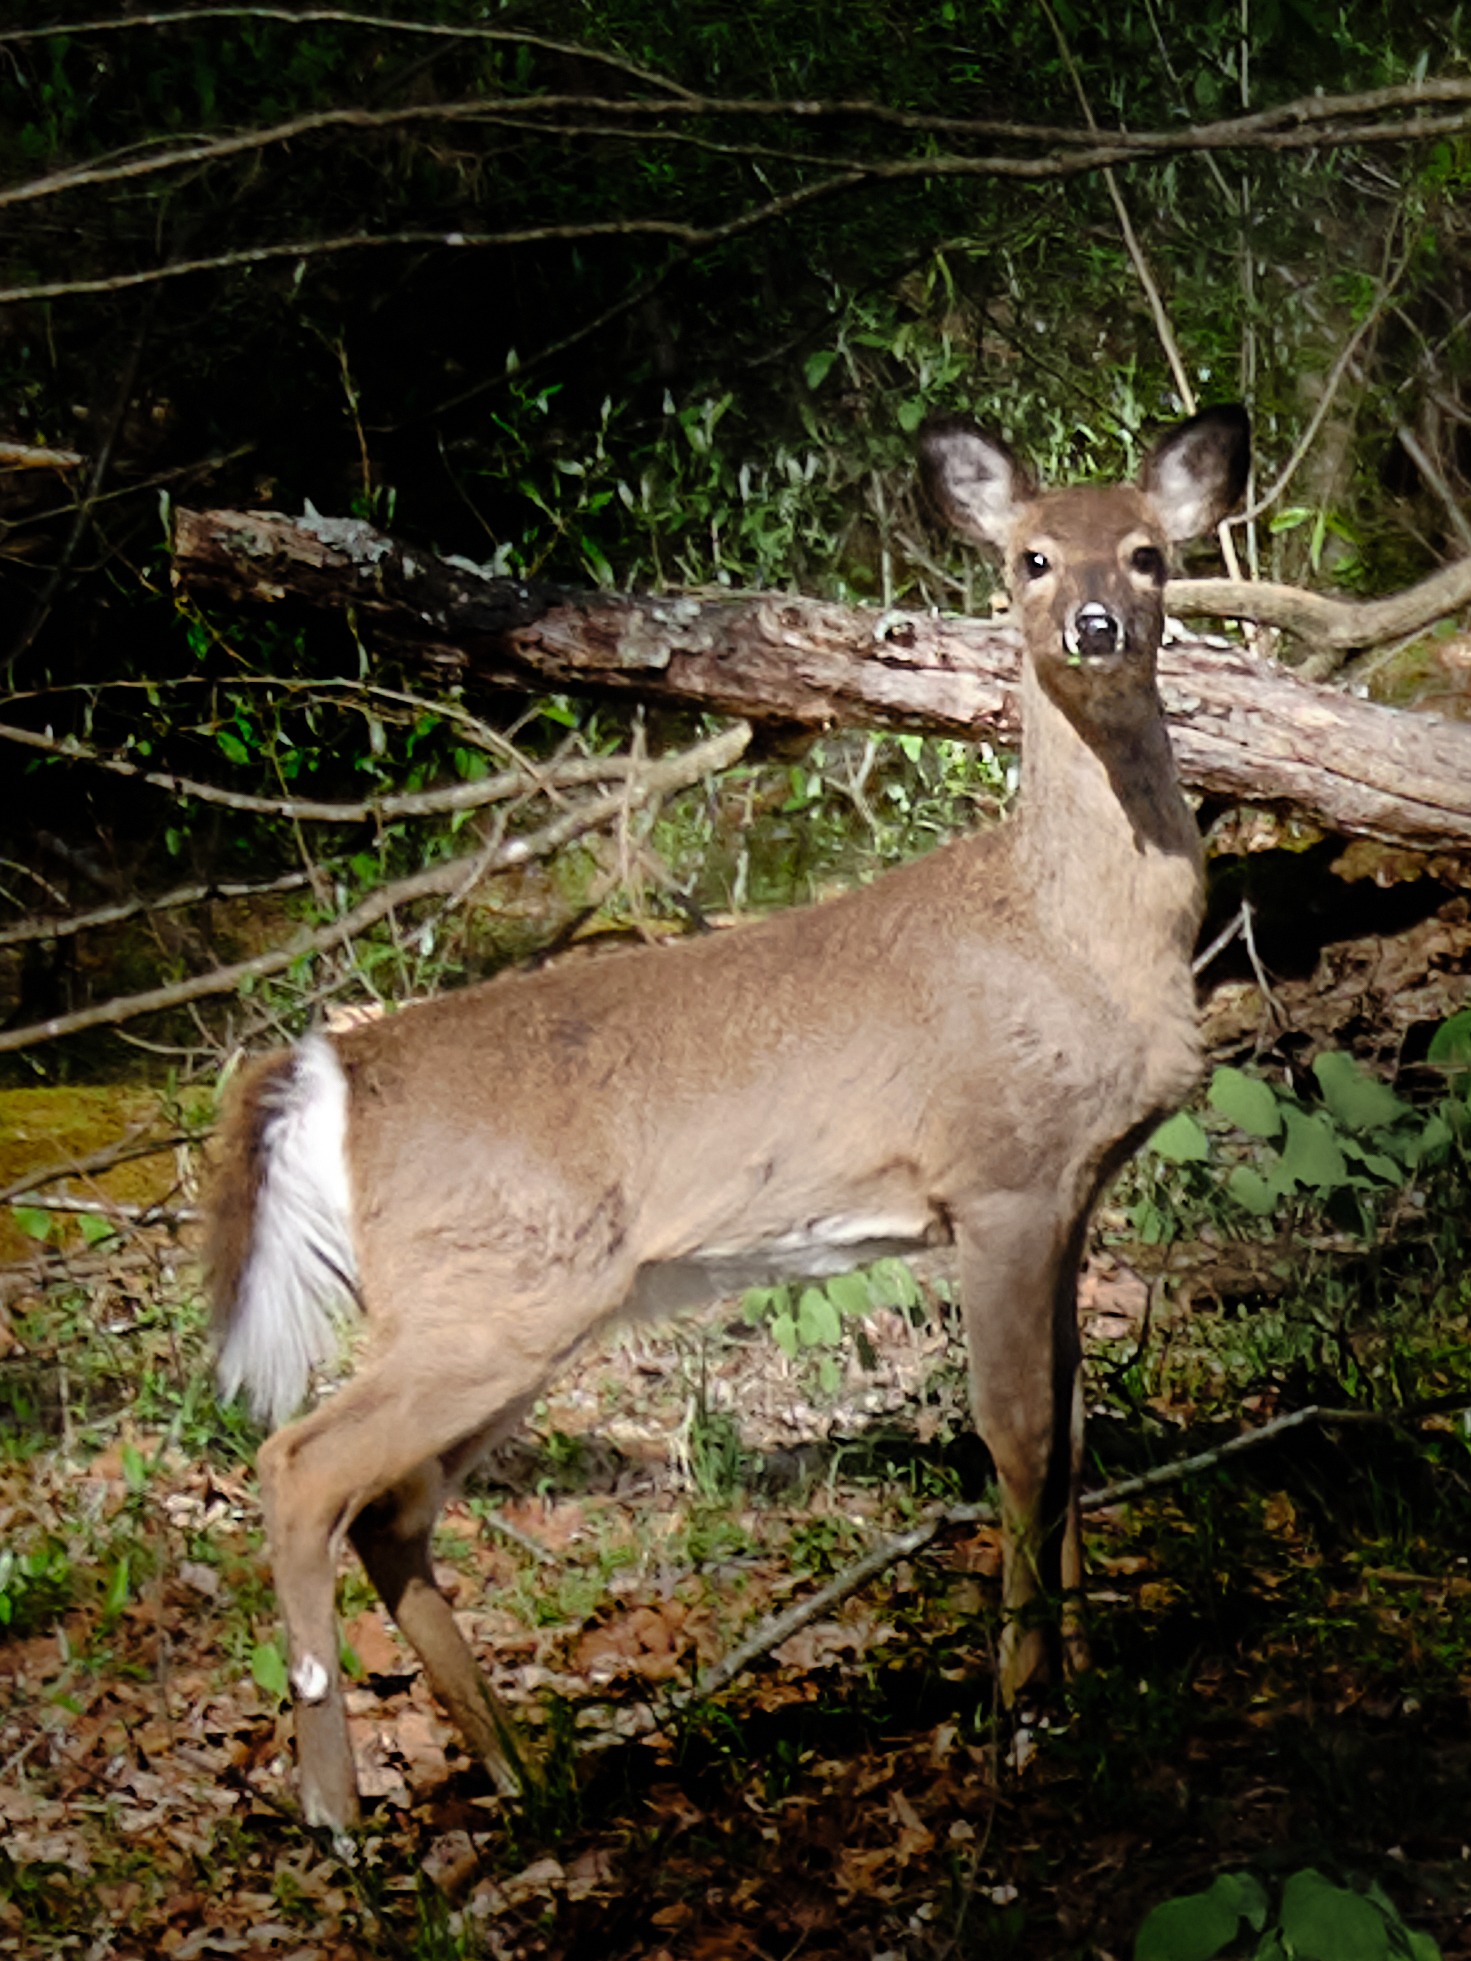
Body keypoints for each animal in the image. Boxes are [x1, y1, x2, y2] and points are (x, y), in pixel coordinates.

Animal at [206, 401, 1249, 1831]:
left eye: (1148, 554)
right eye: (1029, 559)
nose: (1096, 624)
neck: (1072, 935)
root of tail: (334, 1070)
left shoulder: (1075, 1192)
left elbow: (1077, 1431)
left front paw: (1083, 1677)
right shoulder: (994, 1177)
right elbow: (1017, 1432)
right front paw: (1019, 1703)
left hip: (501, 1305)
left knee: (388, 1511)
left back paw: (526, 1776)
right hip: (489, 1292)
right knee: (302, 1464)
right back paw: (338, 1812)